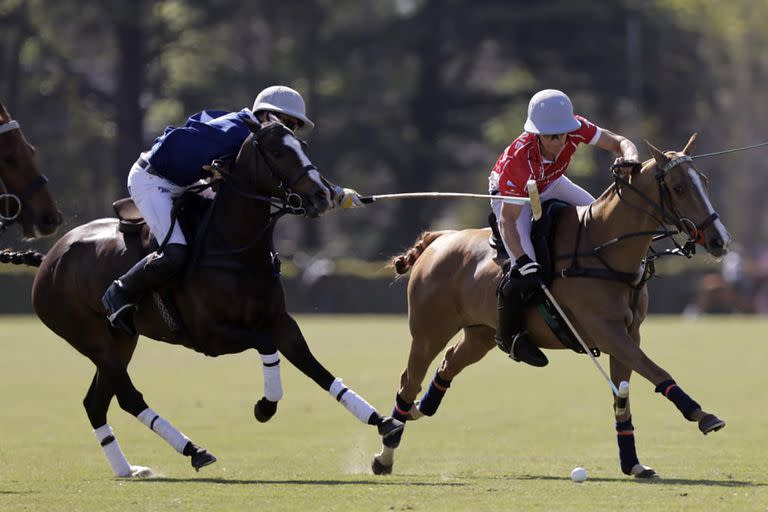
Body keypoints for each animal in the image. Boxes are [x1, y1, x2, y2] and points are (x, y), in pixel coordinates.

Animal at [7, 116, 402, 476]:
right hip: (89, 338)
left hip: (120, 338)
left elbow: (313, 365)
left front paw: (383, 421)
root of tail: (49, 258)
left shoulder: (279, 320)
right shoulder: (210, 335)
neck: (234, 247)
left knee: (97, 402)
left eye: (303, 146)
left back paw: (127, 469)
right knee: (128, 396)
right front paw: (265, 405)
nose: (323, 196)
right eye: (278, 151)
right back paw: (192, 449)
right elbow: (266, 345)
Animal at [372, 134, 732, 478]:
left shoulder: (628, 334)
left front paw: (633, 464)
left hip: (481, 334)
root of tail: (441, 239)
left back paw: (421, 409)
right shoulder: (607, 333)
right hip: (428, 332)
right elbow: (657, 371)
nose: (720, 240)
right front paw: (702, 415)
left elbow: (622, 397)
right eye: (678, 187)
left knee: (447, 365)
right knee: (408, 382)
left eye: (703, 180)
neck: (603, 249)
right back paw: (385, 454)